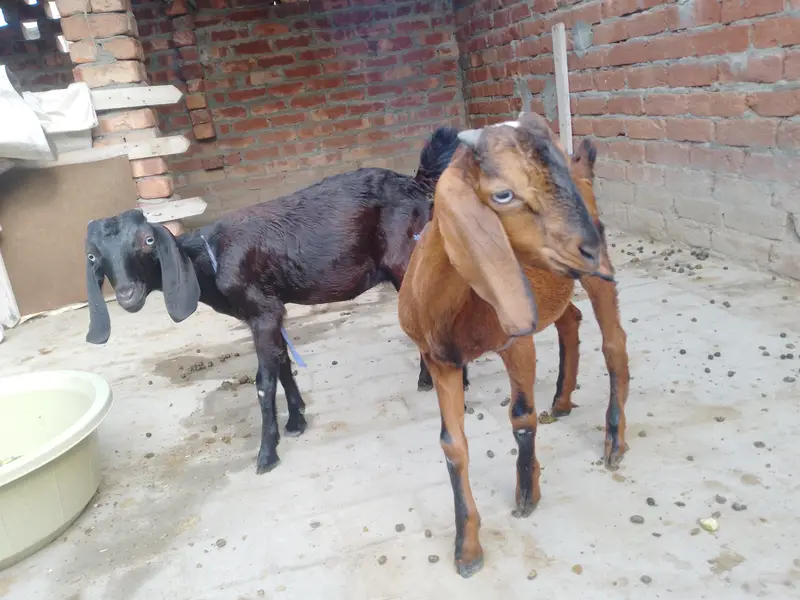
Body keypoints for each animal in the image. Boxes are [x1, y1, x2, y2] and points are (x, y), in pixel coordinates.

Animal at [84, 126, 467, 475]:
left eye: (148, 241)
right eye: (93, 256)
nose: (127, 295)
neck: (210, 257)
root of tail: (417, 183)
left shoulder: (263, 311)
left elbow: (263, 383)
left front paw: (267, 454)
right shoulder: (268, 311)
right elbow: (282, 363)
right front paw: (296, 420)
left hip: (408, 261)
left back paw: (454, 380)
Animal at [397, 112, 625, 578]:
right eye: (503, 193)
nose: (591, 246)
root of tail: (585, 169)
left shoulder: (516, 342)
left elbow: (521, 416)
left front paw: (527, 494)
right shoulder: (440, 360)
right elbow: (452, 445)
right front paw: (467, 550)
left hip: (596, 281)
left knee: (614, 344)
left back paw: (614, 443)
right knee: (570, 321)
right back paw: (561, 401)